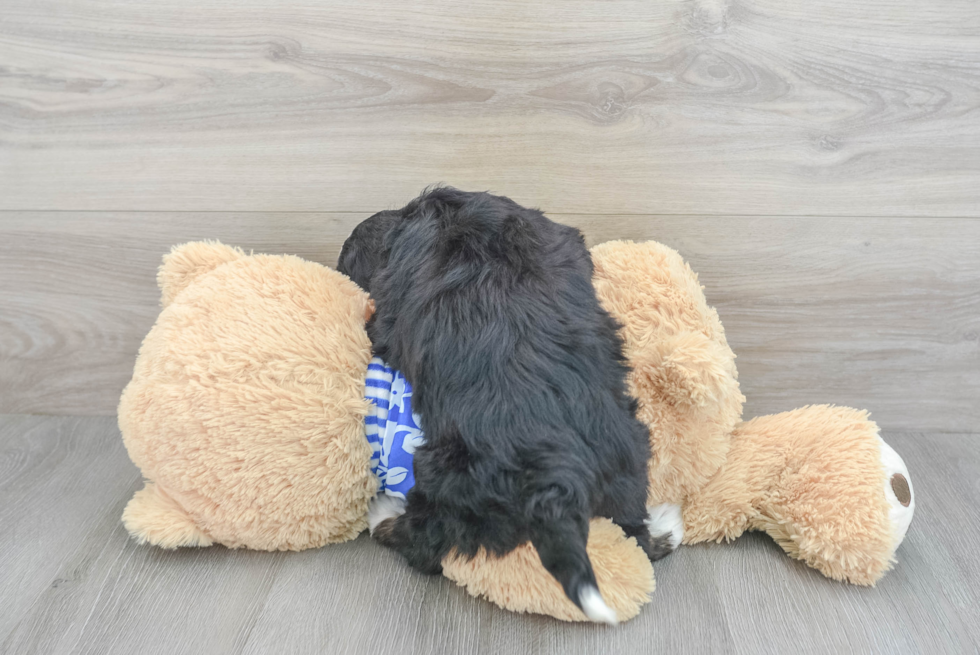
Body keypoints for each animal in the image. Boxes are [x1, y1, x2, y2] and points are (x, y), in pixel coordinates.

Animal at [338, 187, 672, 624]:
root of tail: (555, 478)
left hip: (448, 480)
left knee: (426, 545)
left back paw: (384, 516)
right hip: (628, 457)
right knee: (635, 531)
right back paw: (663, 530)